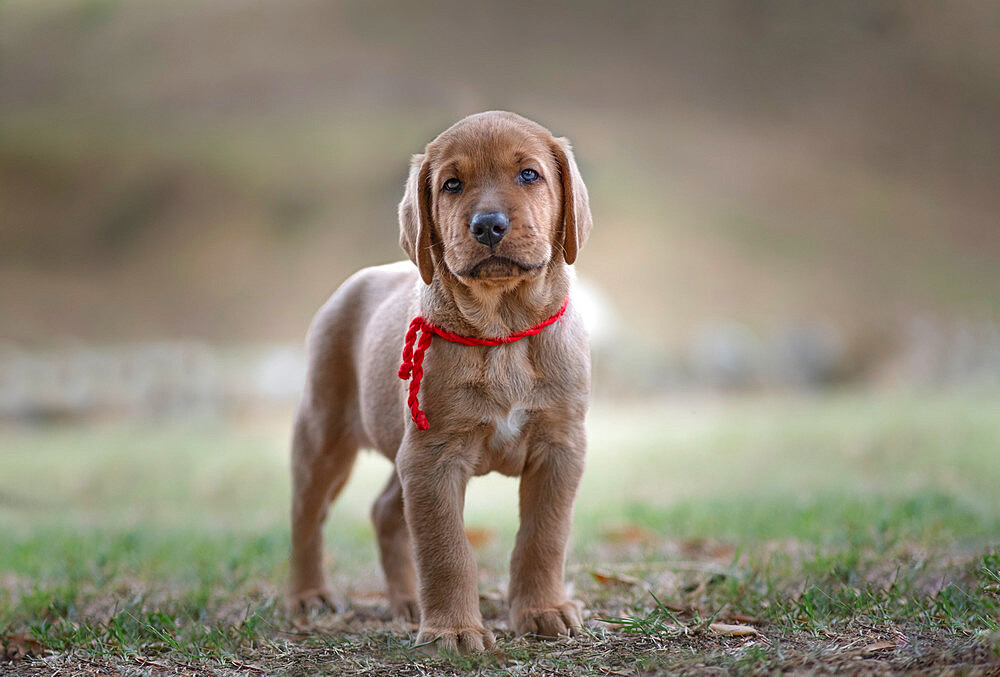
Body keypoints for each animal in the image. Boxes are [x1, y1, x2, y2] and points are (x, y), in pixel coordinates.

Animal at [286, 109, 588, 648]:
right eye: (451, 184)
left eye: (528, 174)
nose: (488, 225)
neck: (502, 330)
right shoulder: (434, 459)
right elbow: (446, 551)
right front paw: (454, 630)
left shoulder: (560, 447)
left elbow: (544, 536)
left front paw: (543, 610)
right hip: (324, 433)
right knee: (306, 514)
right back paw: (308, 595)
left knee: (385, 510)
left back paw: (407, 604)